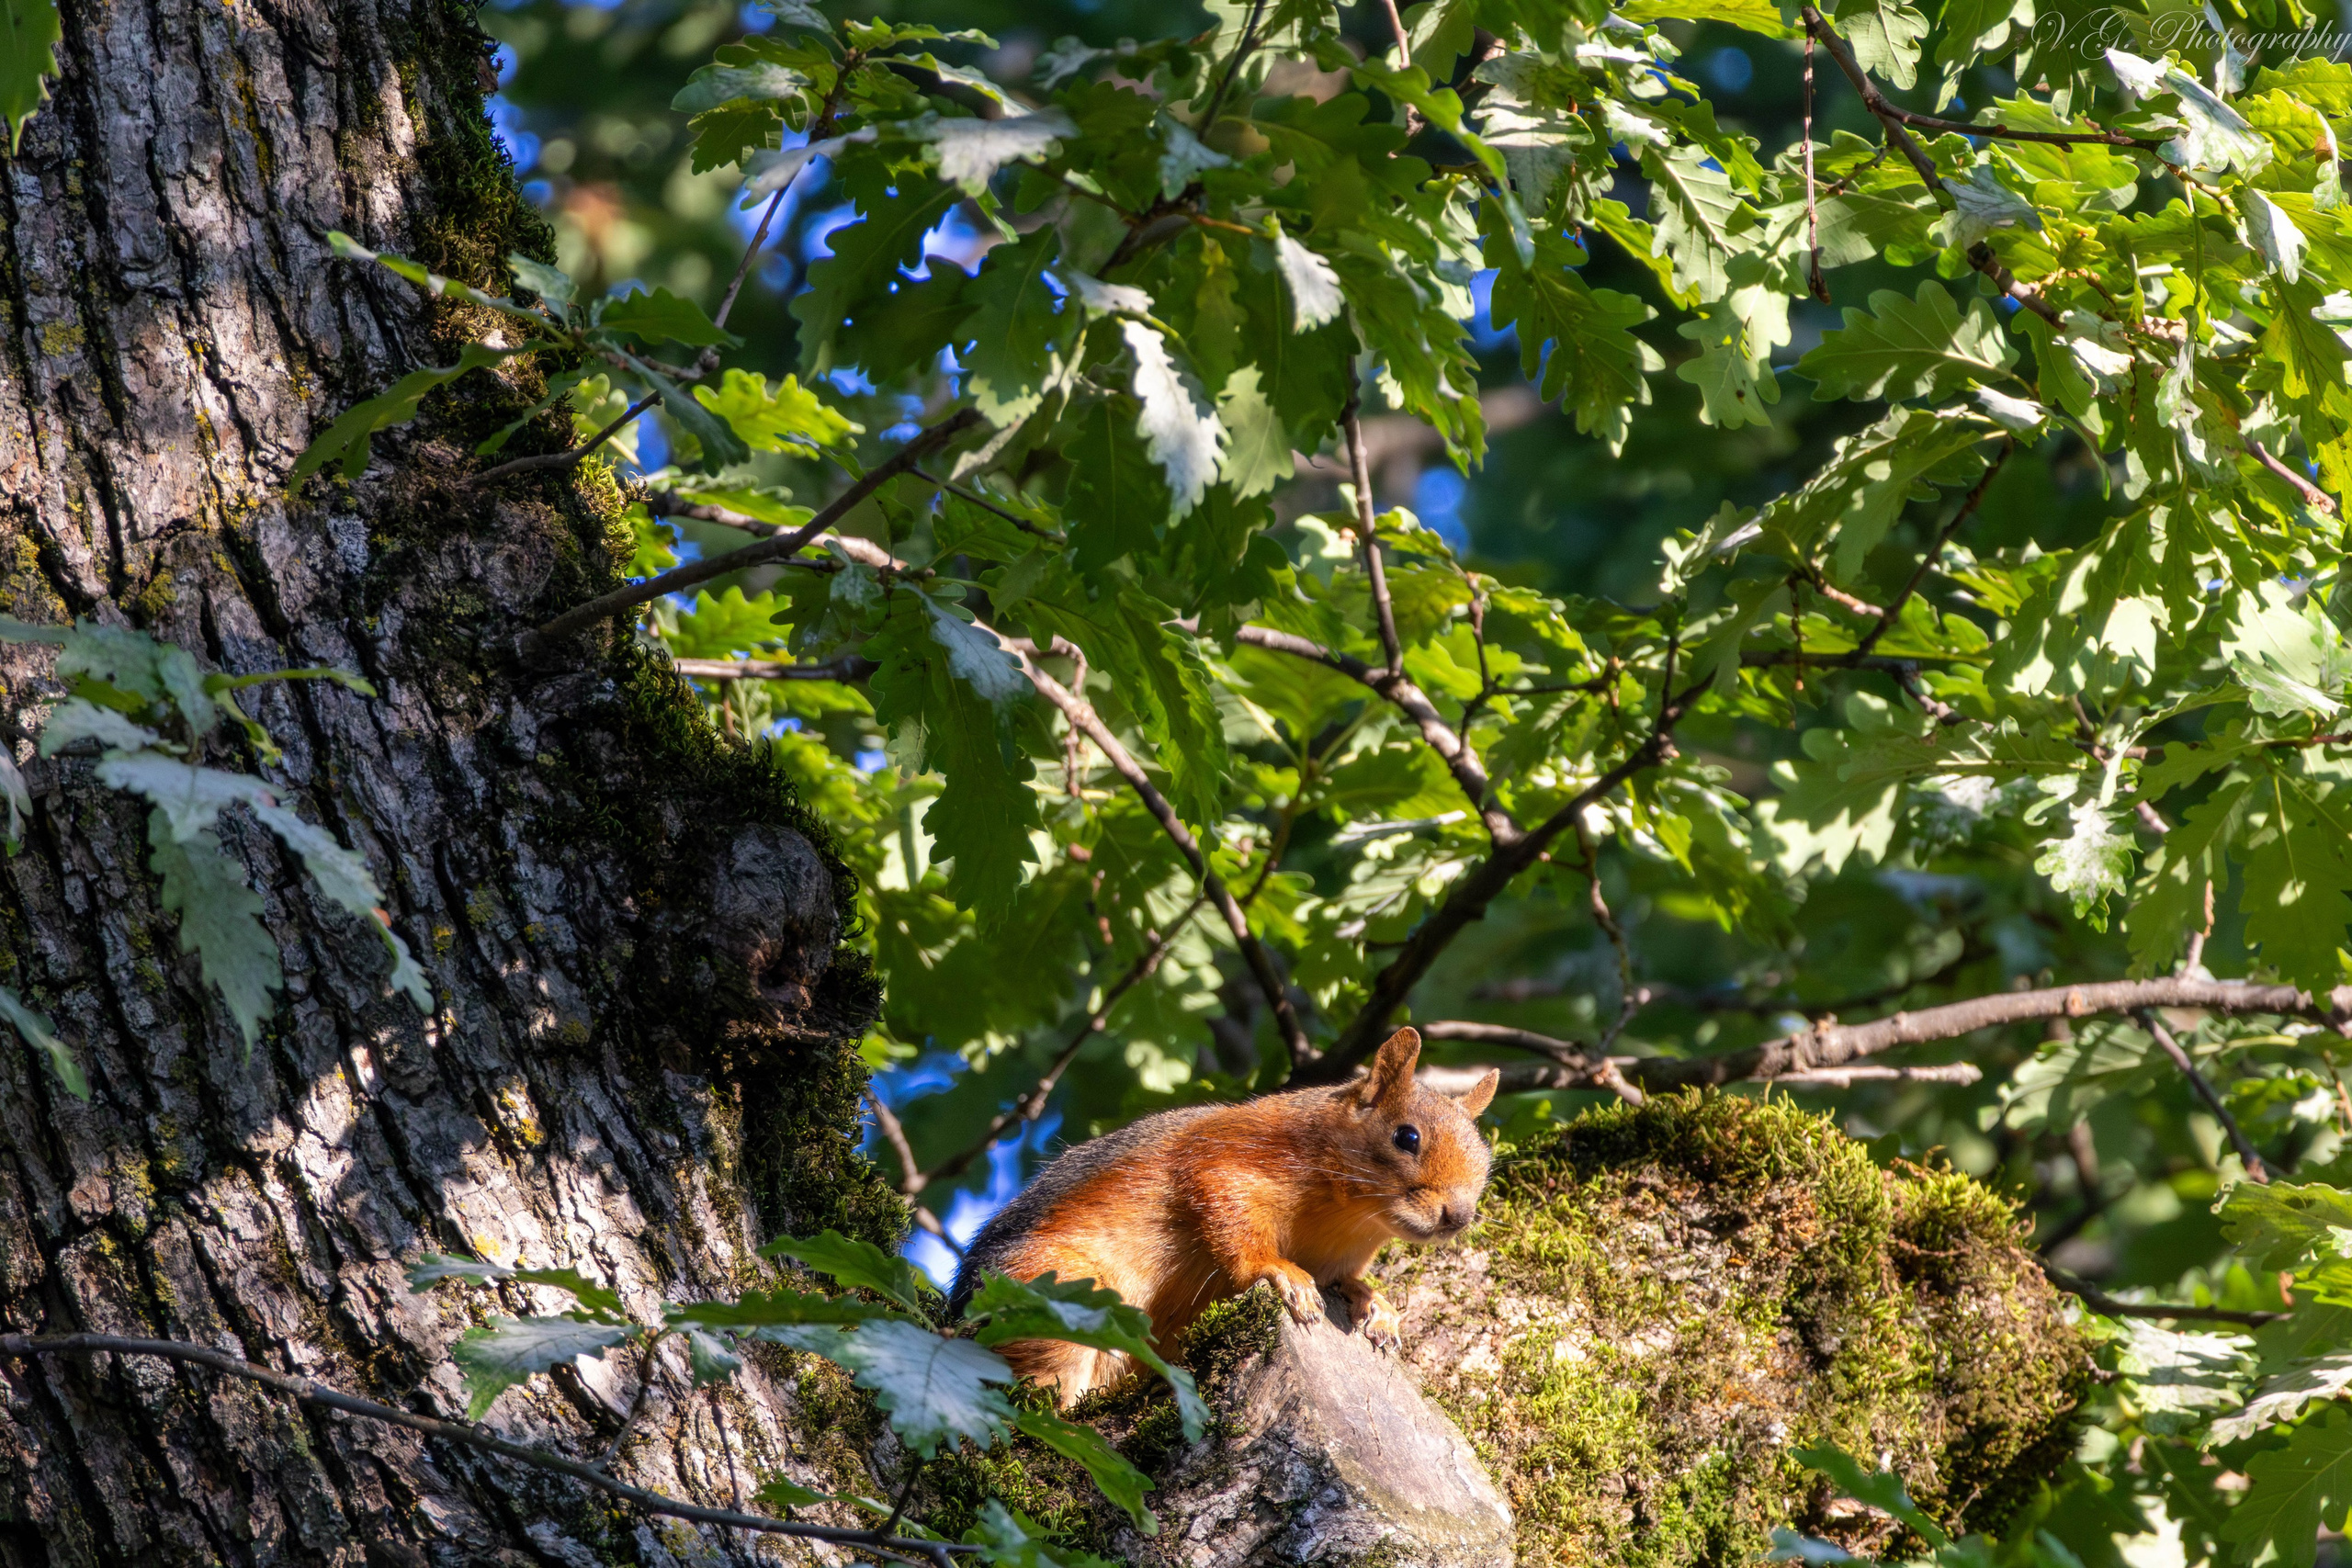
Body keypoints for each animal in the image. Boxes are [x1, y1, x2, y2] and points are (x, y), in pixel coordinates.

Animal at [947, 1027, 1500, 1405]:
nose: (1458, 1216)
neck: (1351, 1220)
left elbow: (1348, 1280)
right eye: (1407, 1137)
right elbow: (1227, 1222)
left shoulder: (1340, 1256)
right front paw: (1281, 1273)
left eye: (1485, 1156)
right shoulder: (1224, 1163)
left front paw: (1377, 1303)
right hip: (1054, 1289)